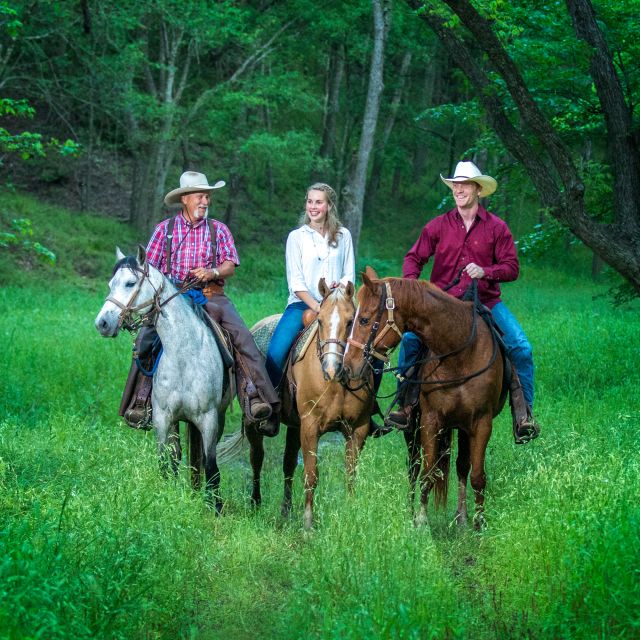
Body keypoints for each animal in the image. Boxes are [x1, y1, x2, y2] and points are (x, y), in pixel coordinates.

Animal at [95, 248, 232, 512]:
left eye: (130, 283)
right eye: (110, 284)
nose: (102, 323)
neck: (185, 354)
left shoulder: (209, 418)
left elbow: (211, 466)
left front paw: (216, 508)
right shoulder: (162, 417)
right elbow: (166, 461)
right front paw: (167, 496)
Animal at [344, 266, 504, 528]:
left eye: (364, 319)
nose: (348, 366)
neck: (459, 353)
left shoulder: (482, 422)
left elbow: (478, 476)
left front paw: (479, 524)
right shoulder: (430, 420)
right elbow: (428, 473)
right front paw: (421, 521)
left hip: (462, 427)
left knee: (461, 466)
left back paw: (462, 517)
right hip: (413, 431)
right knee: (414, 468)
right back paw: (412, 512)